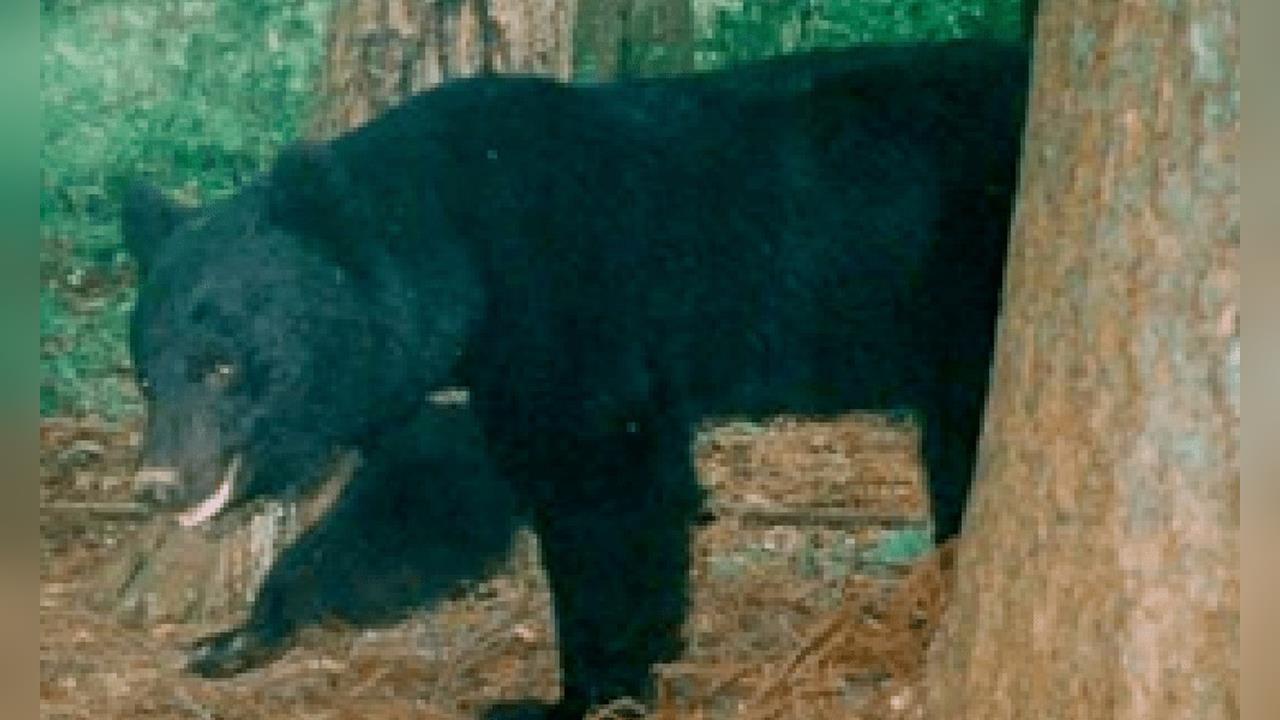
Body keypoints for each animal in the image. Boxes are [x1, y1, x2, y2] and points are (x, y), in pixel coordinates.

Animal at [122, 39, 1030, 720]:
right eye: (147, 373)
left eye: (222, 364)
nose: (158, 484)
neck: (461, 256)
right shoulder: (459, 383)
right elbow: (423, 505)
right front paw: (242, 634)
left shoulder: (570, 316)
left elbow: (607, 500)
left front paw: (576, 698)